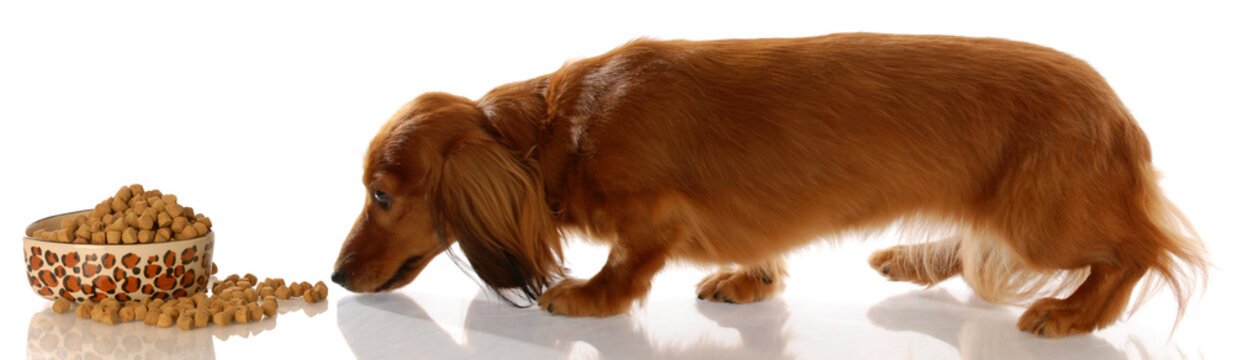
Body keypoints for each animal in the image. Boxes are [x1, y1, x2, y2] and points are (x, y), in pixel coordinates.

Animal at [332, 32, 1208, 337]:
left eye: (381, 195)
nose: (336, 277)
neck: (562, 128)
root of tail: (1119, 116)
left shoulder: (651, 215)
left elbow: (627, 262)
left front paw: (586, 296)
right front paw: (746, 280)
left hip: (1041, 221)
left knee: (1140, 253)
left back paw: (1073, 313)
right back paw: (909, 258)